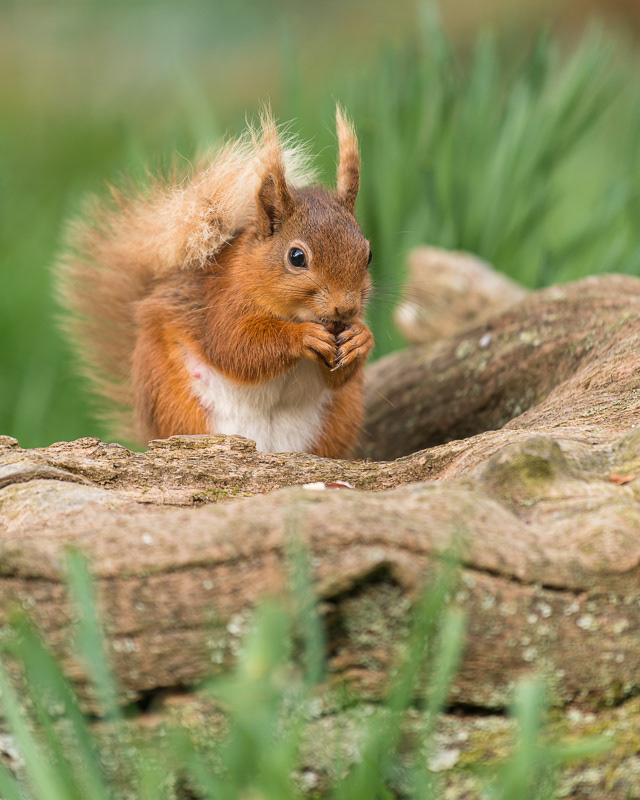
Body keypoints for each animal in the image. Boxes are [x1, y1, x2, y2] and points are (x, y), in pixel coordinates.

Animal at [57, 108, 374, 459]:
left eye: (369, 254)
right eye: (296, 257)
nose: (345, 309)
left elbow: (339, 376)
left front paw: (361, 338)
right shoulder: (220, 303)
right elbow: (235, 346)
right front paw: (303, 336)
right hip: (175, 401)